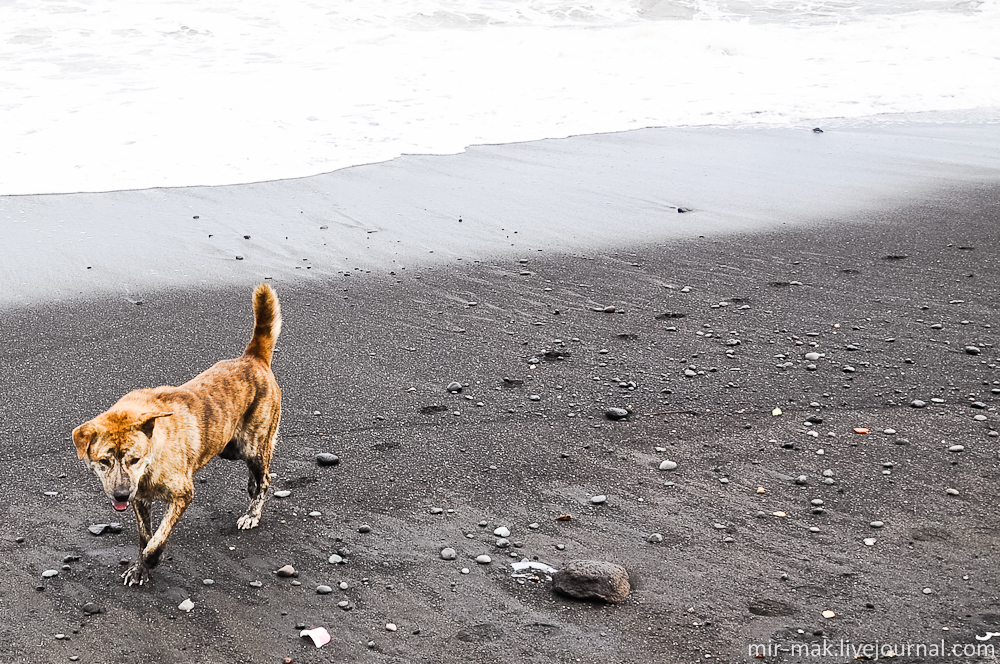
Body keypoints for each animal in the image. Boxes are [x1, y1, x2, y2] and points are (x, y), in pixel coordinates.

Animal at [72, 282, 282, 584]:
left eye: (134, 459)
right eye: (103, 462)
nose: (121, 496)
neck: (153, 454)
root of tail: (252, 358)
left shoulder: (182, 494)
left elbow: (158, 539)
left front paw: (151, 560)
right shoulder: (140, 499)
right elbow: (144, 535)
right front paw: (140, 568)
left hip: (252, 444)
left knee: (264, 476)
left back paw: (252, 512)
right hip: (229, 447)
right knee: (257, 476)